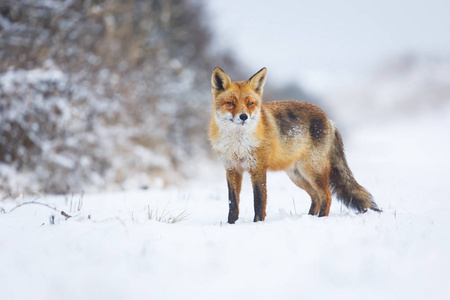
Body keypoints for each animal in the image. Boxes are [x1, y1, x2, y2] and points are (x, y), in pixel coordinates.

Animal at [210, 67, 380, 223]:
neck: (237, 144)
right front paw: (231, 224)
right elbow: (232, 203)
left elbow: (259, 202)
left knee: (327, 195)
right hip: (298, 176)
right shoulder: (232, 169)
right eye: (230, 103)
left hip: (312, 171)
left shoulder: (258, 168)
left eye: (250, 103)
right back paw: (310, 217)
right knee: (316, 197)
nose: (243, 116)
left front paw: (258, 223)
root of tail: (329, 120)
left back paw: (321, 219)